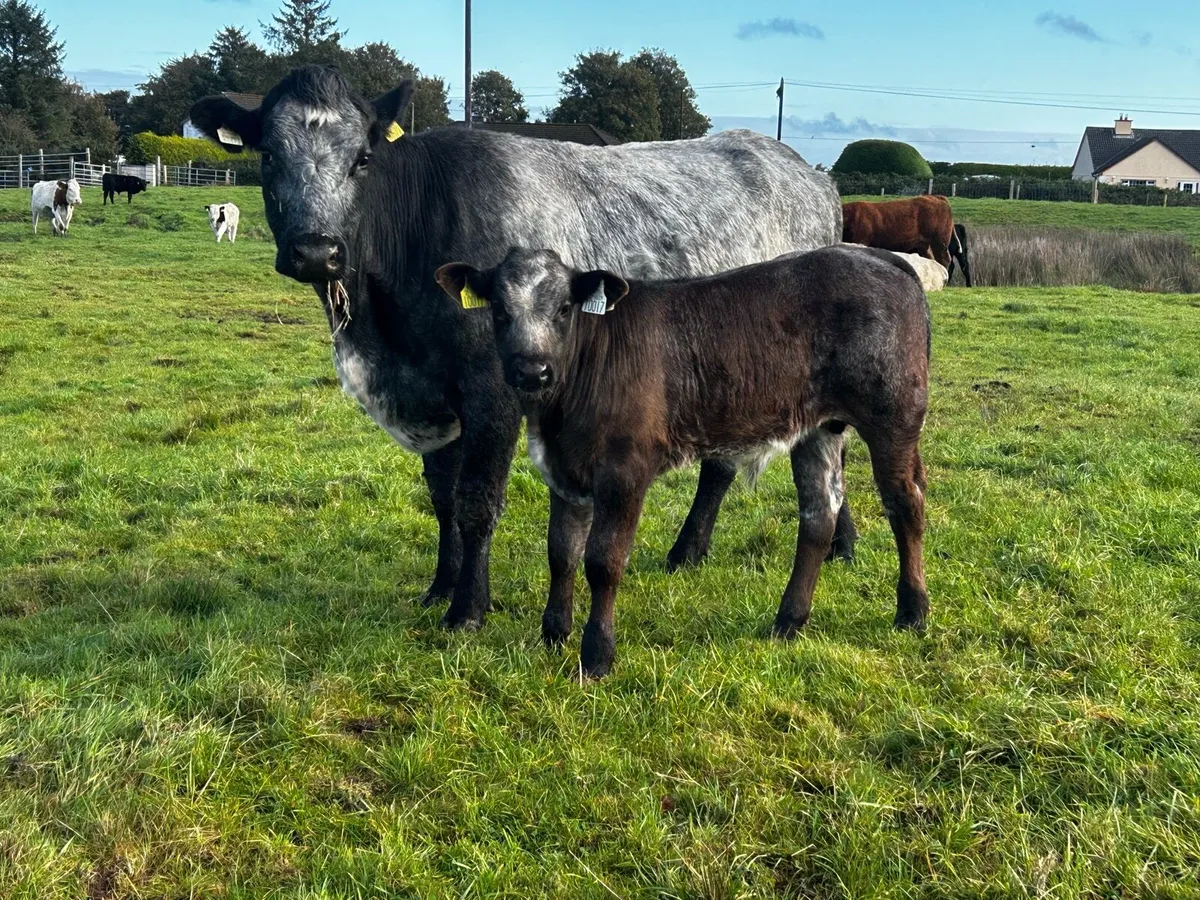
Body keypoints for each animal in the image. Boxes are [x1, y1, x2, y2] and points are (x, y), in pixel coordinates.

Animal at [188, 64, 848, 634]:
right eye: (268, 156)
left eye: (363, 159)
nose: (316, 251)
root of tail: (807, 172)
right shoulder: (435, 392)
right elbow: (442, 497)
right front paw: (440, 586)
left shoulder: (492, 390)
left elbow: (476, 501)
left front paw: (468, 609)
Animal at [435, 245, 931, 678]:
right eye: (500, 310)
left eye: (563, 309)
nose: (531, 371)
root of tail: (874, 255)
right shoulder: (564, 472)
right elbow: (561, 552)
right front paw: (553, 635)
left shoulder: (625, 471)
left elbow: (603, 561)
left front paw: (597, 655)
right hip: (818, 428)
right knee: (818, 514)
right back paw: (789, 620)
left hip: (894, 415)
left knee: (906, 503)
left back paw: (912, 611)